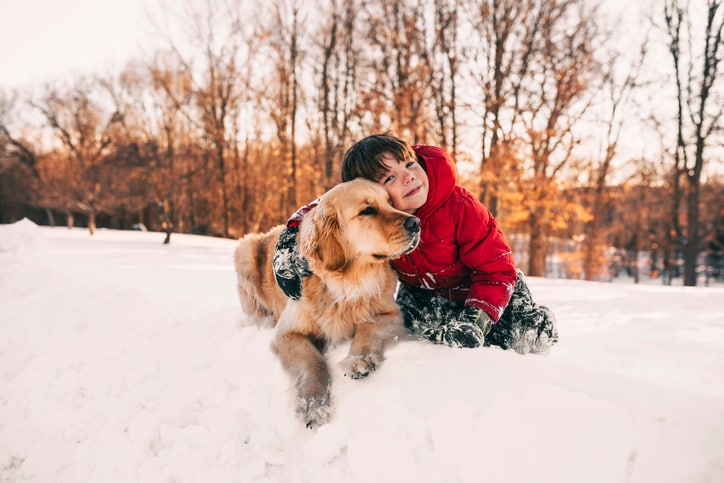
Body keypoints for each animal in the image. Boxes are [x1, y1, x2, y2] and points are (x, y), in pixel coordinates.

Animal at [235, 178, 422, 428]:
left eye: (390, 203)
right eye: (367, 210)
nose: (416, 222)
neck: (347, 285)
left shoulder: (392, 314)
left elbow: (368, 326)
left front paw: (358, 360)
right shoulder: (288, 333)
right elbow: (314, 361)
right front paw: (313, 404)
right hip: (244, 252)